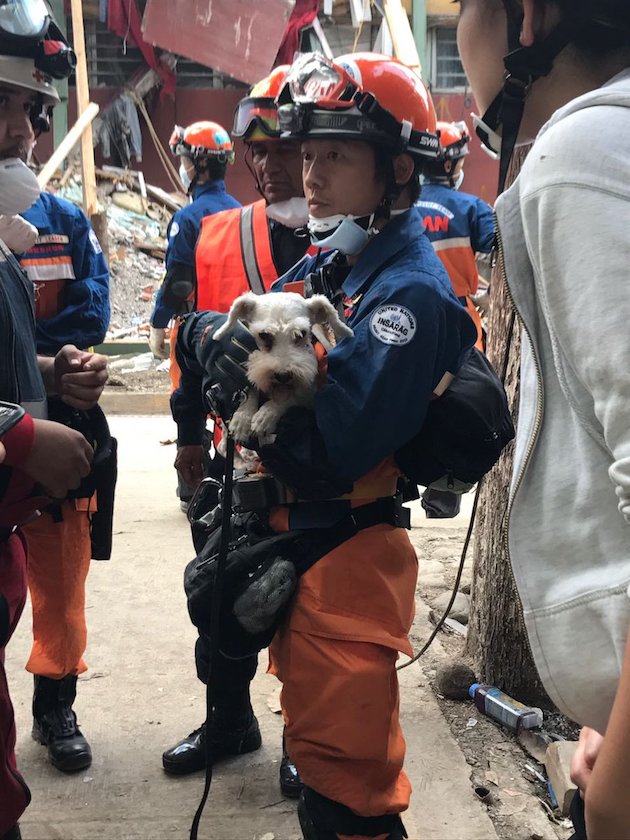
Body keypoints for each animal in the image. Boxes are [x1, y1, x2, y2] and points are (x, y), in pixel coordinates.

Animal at [215, 292, 356, 442]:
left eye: (302, 333)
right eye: (264, 335)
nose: (283, 376)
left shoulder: (309, 395)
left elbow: (289, 399)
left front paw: (266, 416)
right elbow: (251, 388)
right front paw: (242, 417)